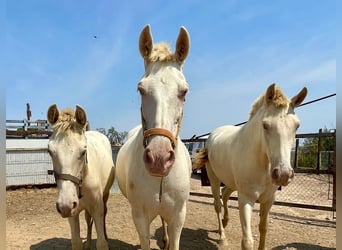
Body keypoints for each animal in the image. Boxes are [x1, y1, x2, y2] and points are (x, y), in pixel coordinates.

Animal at [46, 104, 115, 250]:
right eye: (50, 151)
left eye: (83, 151)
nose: (65, 204)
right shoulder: (73, 213)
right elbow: (76, 241)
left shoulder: (97, 208)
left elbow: (102, 243)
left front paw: (104, 240)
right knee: (88, 220)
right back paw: (88, 244)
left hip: (105, 196)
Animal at [194, 84, 308, 250]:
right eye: (265, 125)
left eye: (297, 126)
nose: (283, 174)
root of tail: (212, 135)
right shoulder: (246, 199)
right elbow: (247, 241)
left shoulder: (268, 199)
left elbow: (263, 228)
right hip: (214, 179)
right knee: (217, 205)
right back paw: (222, 237)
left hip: (232, 182)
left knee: (225, 193)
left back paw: (225, 222)